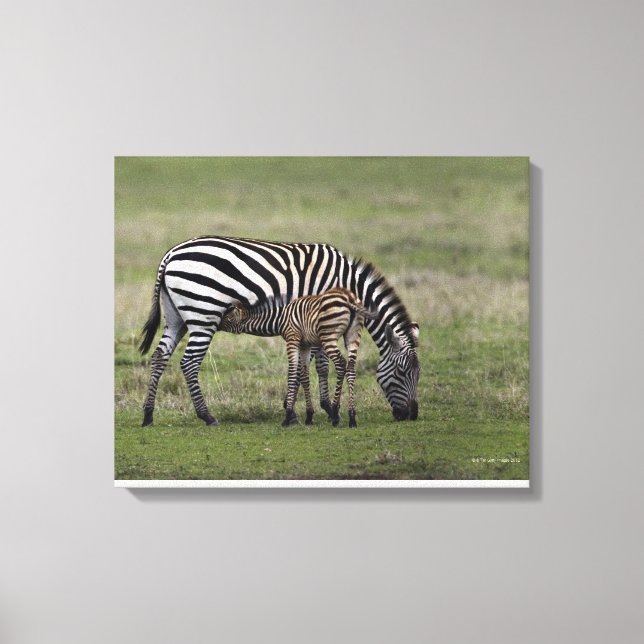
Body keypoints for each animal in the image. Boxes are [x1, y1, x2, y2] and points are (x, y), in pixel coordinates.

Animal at [220, 287, 376, 428]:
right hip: (353, 335)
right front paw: (309, 416)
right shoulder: (304, 345)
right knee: (351, 368)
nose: (216, 325)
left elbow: (293, 373)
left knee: (341, 364)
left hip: (328, 336)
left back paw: (336, 413)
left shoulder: (292, 339)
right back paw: (352, 417)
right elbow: (304, 376)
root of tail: (348, 298)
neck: (280, 318)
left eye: (228, 318)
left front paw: (288, 416)